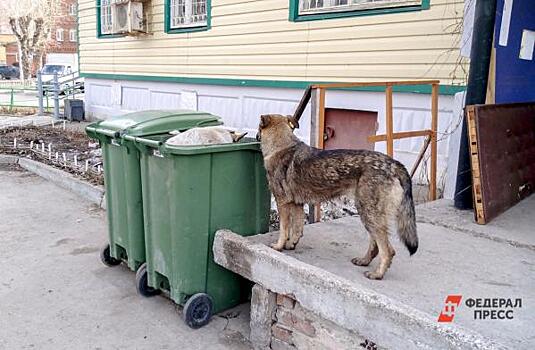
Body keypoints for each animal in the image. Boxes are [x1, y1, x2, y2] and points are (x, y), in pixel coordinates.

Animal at [258, 115, 418, 278]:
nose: (257, 136)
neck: (281, 146)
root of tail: (394, 164)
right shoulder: (297, 204)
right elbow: (297, 229)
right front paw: (291, 244)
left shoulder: (282, 203)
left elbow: (284, 230)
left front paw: (278, 246)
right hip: (371, 216)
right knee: (377, 246)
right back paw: (364, 261)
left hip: (368, 213)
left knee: (388, 250)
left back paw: (377, 274)